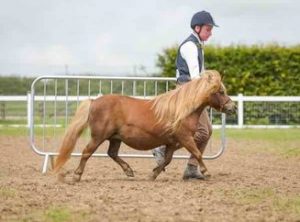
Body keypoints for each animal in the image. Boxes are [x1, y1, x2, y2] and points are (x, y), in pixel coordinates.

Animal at [54, 70, 237, 181]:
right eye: (221, 92)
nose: (233, 107)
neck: (181, 110)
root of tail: (94, 101)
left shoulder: (172, 142)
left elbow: (167, 160)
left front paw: (153, 174)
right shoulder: (185, 138)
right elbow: (197, 154)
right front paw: (206, 172)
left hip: (115, 138)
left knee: (112, 153)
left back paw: (129, 171)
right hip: (99, 136)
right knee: (86, 152)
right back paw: (77, 176)